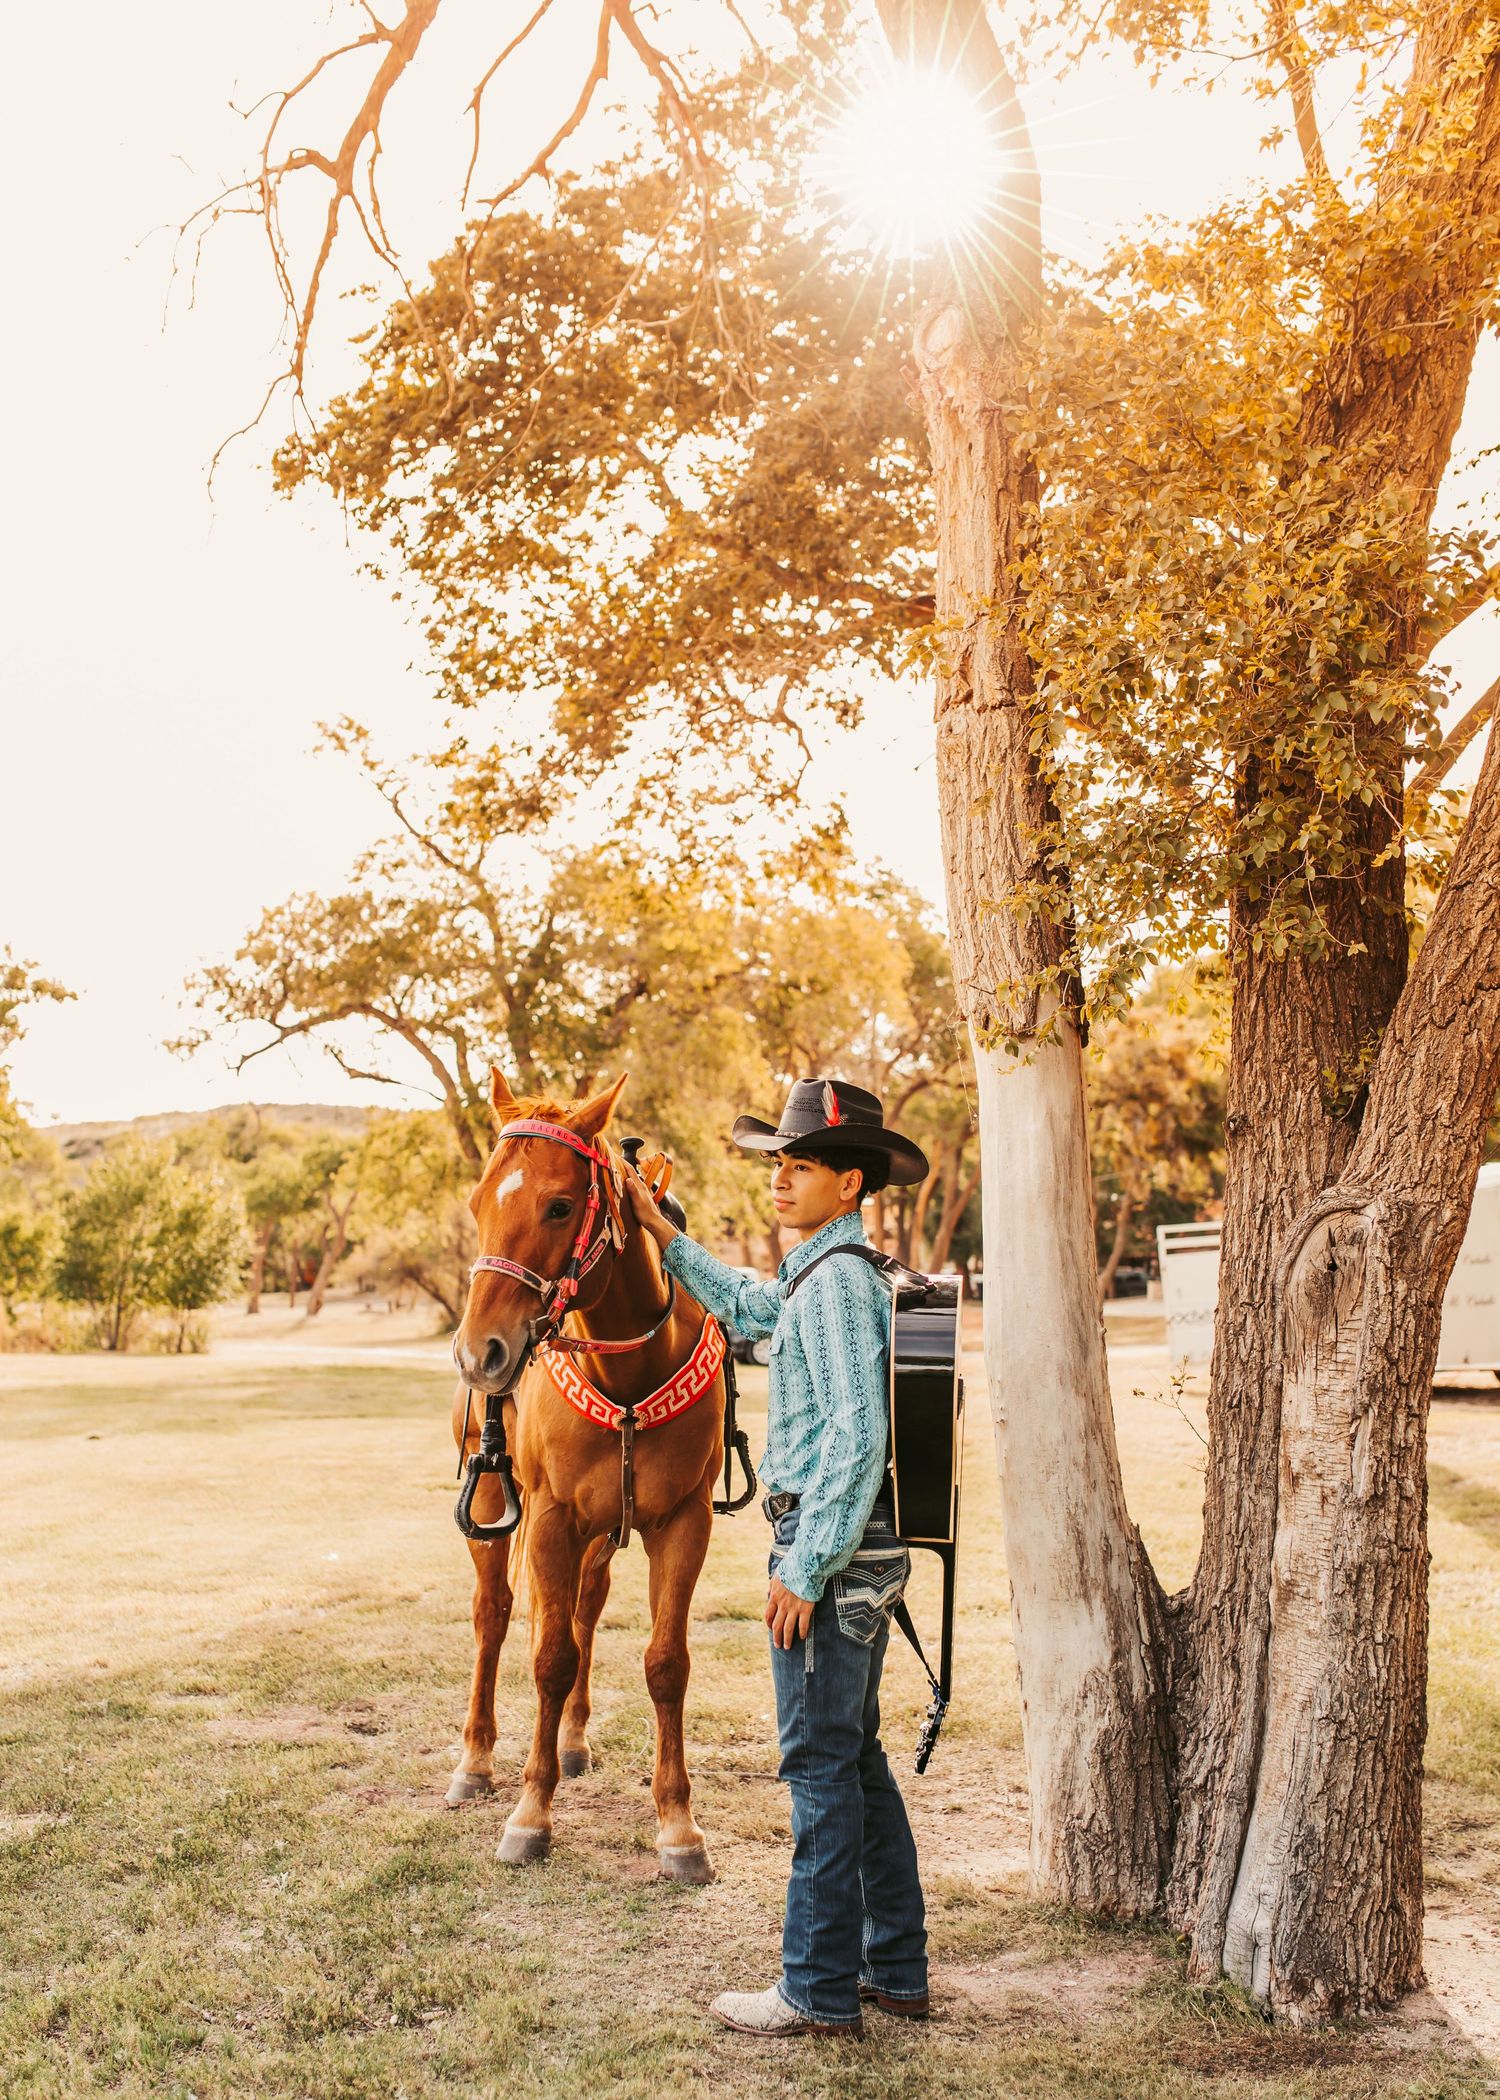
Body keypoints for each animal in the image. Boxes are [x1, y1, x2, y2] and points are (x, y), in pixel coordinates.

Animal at [447, 1066, 726, 1884]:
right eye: (477, 1203)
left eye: (560, 1206)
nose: (479, 1352)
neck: (628, 1372)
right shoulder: (547, 1519)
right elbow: (548, 1657)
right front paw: (530, 1814)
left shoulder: (684, 1522)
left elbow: (664, 1663)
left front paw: (678, 1825)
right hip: (493, 1501)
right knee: (495, 1614)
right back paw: (476, 1761)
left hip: (601, 1529)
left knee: (585, 1608)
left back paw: (570, 1741)